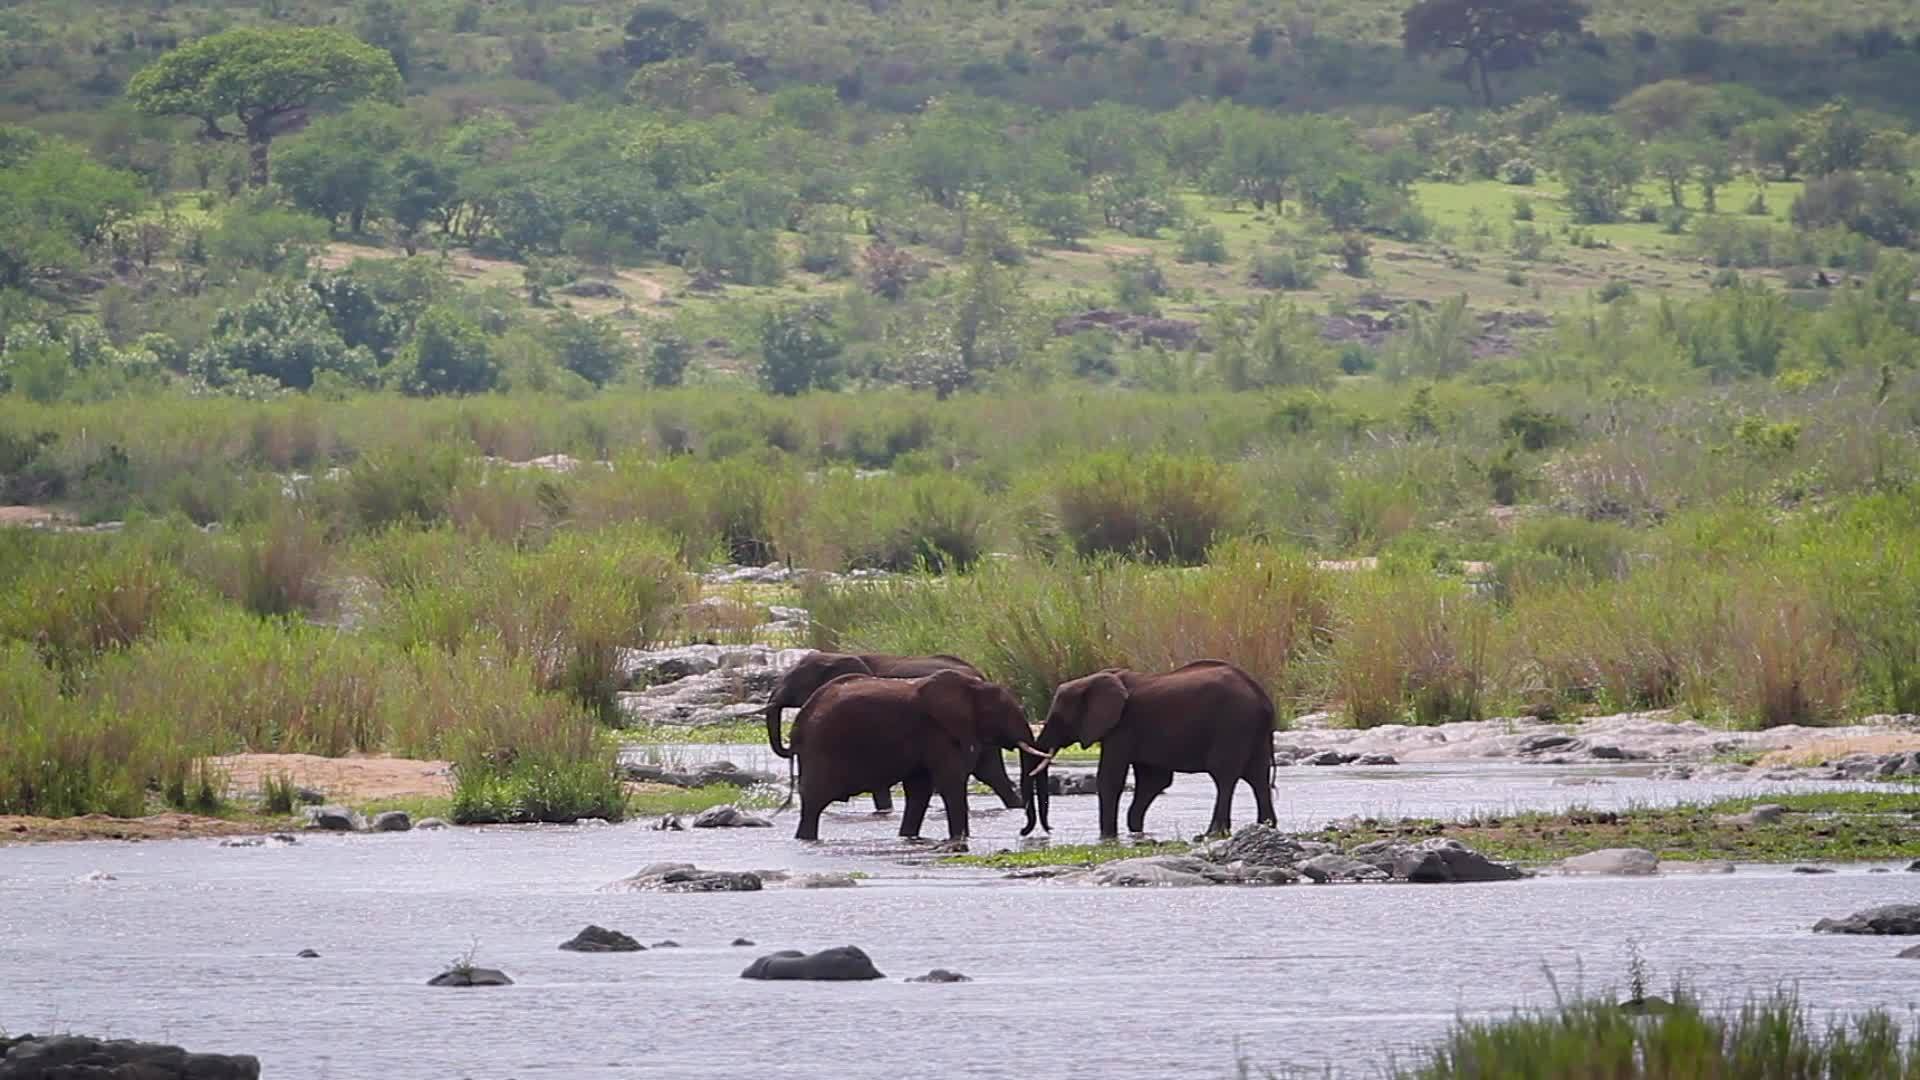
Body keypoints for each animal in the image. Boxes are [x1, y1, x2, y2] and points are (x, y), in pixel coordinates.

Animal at [779, 664, 1052, 841]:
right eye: (1007, 712)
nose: (1022, 831)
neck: (975, 686)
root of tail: (800, 721)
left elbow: (920, 789)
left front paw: (908, 837)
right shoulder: (939, 732)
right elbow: (951, 783)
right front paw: (959, 839)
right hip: (820, 748)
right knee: (814, 801)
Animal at [1029, 657, 1282, 841]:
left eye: (1058, 717)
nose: (1049, 829)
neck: (1094, 679)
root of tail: (1262, 696)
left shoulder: (1122, 727)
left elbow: (1110, 779)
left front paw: (1107, 838)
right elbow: (1154, 781)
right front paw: (1135, 831)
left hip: (1233, 724)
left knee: (1224, 776)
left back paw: (1211, 834)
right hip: (1252, 730)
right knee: (1257, 776)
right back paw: (1266, 826)